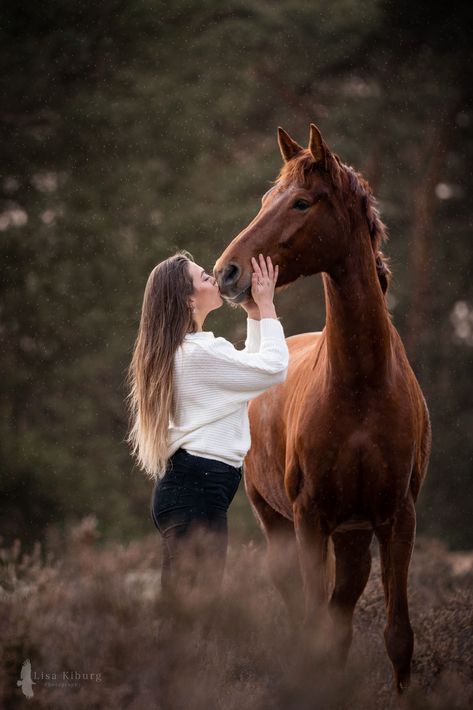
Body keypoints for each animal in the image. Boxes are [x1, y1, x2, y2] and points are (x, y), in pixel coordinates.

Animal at [214, 124, 432, 696]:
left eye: (301, 202)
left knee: (340, 617)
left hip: (353, 538)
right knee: (303, 615)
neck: (360, 388)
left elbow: (398, 637)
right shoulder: (309, 517)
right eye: (265, 201)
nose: (227, 272)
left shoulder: (397, 518)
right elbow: (314, 630)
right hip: (277, 524)